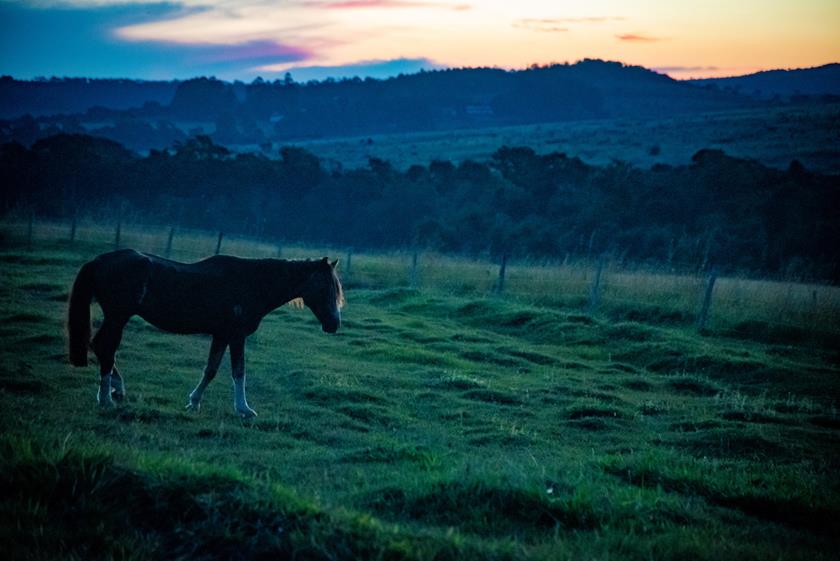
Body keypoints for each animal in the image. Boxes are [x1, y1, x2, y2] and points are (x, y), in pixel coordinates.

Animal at [64, 248, 342, 416]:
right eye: (326, 287)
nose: (334, 324)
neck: (252, 283)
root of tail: (98, 261)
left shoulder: (221, 335)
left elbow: (211, 370)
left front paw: (194, 401)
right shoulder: (236, 336)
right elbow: (238, 372)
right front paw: (244, 409)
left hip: (116, 318)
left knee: (99, 346)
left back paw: (116, 390)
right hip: (118, 317)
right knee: (105, 347)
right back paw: (106, 398)